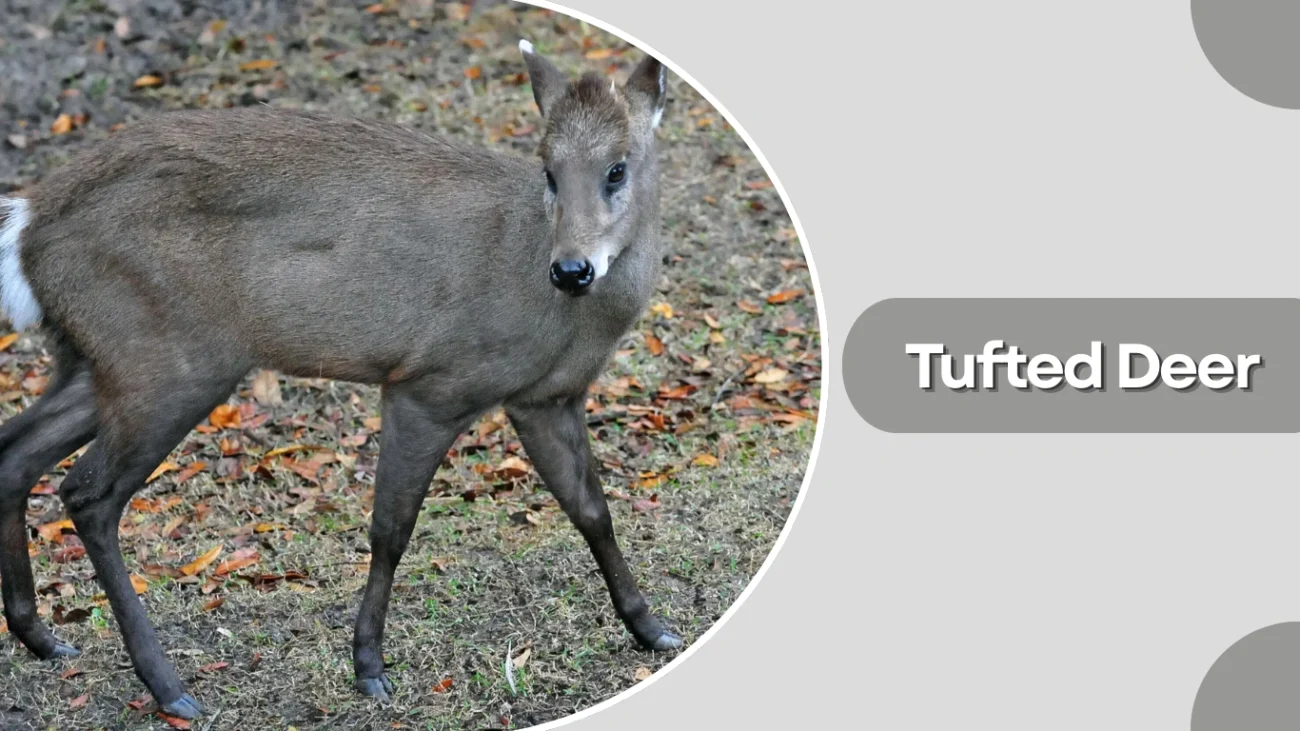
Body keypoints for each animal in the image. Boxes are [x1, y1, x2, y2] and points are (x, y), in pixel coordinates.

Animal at [0, 41, 679, 719]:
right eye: (549, 170)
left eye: (617, 169)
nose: (571, 269)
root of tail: (28, 229)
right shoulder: (432, 381)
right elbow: (391, 528)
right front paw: (369, 666)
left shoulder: (547, 397)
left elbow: (592, 510)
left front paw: (651, 629)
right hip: (168, 361)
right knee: (87, 492)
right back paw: (168, 686)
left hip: (102, 360)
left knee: (18, 452)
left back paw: (43, 638)